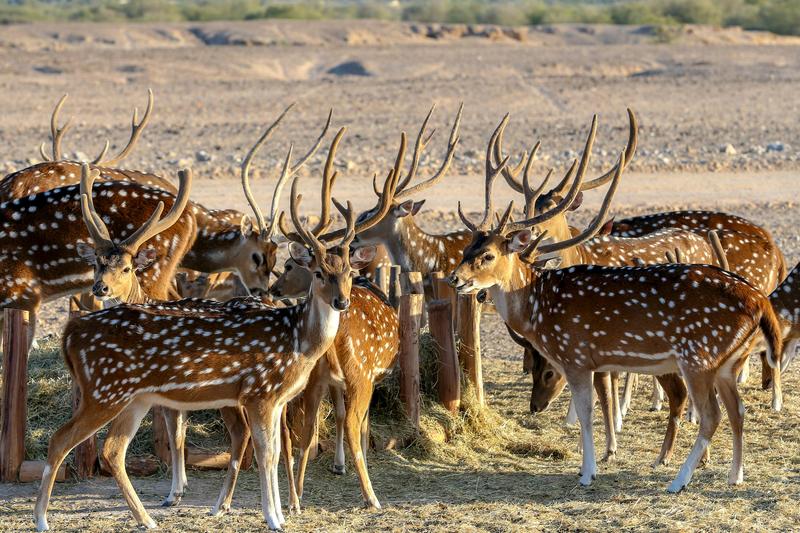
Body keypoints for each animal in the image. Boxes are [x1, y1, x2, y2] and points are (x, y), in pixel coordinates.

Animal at [34, 143, 360, 532]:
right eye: (320, 273)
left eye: (350, 273)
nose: (342, 301)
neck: (297, 340)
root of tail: (70, 334)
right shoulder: (259, 393)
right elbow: (265, 453)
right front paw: (272, 518)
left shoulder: (274, 398)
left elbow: (273, 449)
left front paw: (280, 514)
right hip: (104, 391)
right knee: (60, 440)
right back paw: (42, 520)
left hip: (132, 397)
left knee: (112, 449)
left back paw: (148, 519)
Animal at [450, 126, 784, 492]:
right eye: (466, 249)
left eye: (489, 255)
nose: (455, 278)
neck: (539, 309)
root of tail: (760, 299)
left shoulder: (576, 355)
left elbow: (587, 413)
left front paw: (587, 472)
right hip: (728, 361)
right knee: (738, 410)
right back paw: (735, 476)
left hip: (700, 356)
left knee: (713, 415)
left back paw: (678, 480)